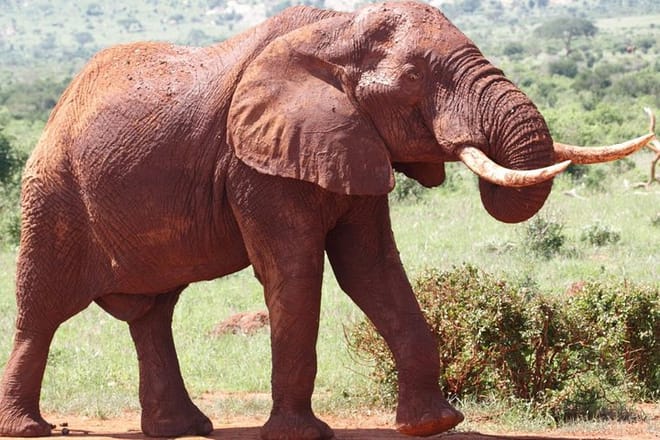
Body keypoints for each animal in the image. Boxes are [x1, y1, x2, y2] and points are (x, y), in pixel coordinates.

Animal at [0, 2, 654, 439]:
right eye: (414, 79)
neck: (338, 28)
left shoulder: (350, 142)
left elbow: (372, 269)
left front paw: (435, 423)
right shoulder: (254, 161)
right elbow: (295, 273)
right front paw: (300, 435)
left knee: (152, 313)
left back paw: (184, 428)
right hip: (52, 192)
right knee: (42, 309)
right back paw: (32, 429)